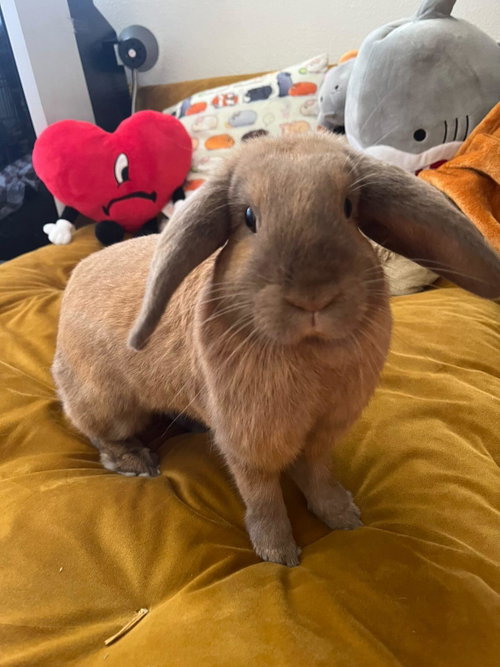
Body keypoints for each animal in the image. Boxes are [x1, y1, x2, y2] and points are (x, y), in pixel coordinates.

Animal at [53, 132, 500, 567]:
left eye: (348, 207)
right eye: (249, 217)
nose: (313, 296)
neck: (309, 350)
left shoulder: (323, 431)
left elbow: (316, 473)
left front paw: (343, 516)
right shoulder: (252, 444)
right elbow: (263, 496)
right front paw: (278, 554)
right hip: (108, 407)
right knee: (100, 436)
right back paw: (137, 462)